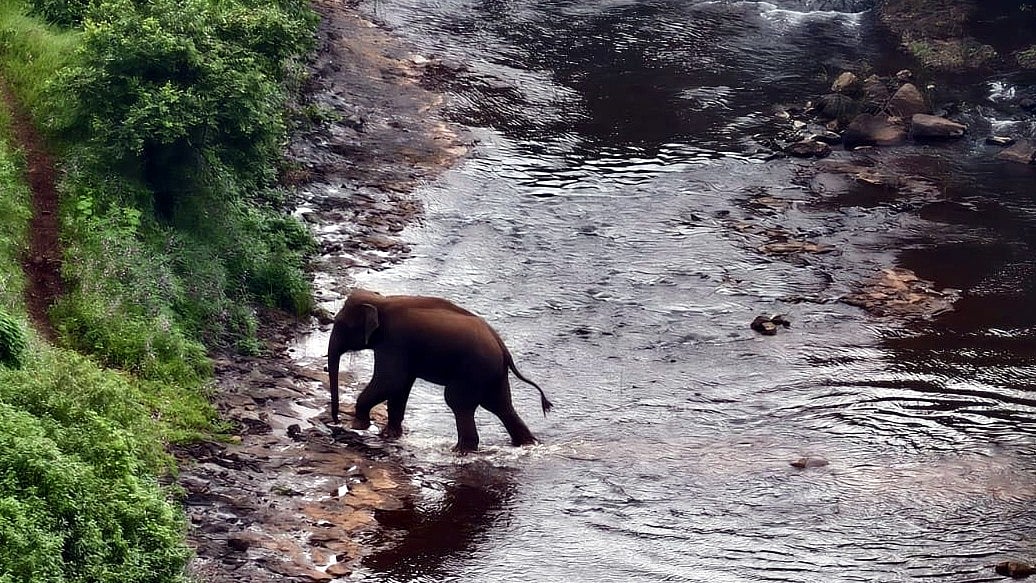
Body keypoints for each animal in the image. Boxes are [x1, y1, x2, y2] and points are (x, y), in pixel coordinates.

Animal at [327, 289, 553, 452]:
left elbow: (390, 381)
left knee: (458, 401)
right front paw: (388, 435)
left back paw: (460, 451)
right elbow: (400, 386)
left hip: (474, 371)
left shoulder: (393, 342)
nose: (336, 421)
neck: (382, 301)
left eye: (341, 324)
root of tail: (503, 348)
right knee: (500, 405)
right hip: (492, 374)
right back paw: (526, 444)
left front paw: (357, 426)